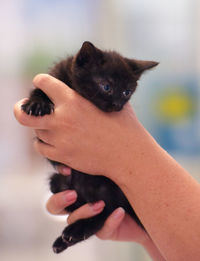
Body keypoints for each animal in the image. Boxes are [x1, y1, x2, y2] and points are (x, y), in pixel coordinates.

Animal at [20, 42, 158, 252]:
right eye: (106, 86)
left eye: (127, 92)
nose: (117, 105)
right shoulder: (54, 77)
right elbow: (39, 92)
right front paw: (36, 104)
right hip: (59, 182)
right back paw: (62, 241)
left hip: (109, 190)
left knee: (106, 212)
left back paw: (74, 231)